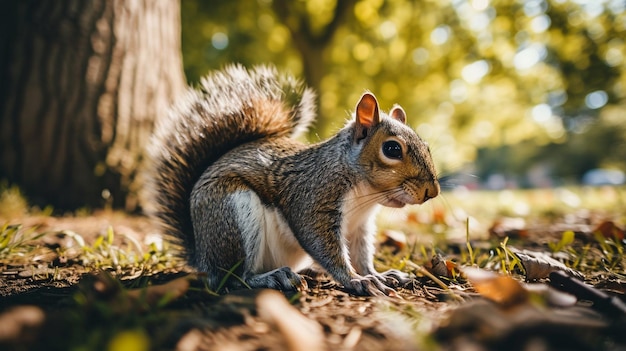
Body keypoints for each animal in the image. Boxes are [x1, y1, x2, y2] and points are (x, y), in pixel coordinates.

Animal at [146, 64, 438, 296]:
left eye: (426, 145)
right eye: (392, 149)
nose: (432, 192)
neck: (365, 195)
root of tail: (201, 255)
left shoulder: (359, 226)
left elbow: (361, 255)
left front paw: (377, 274)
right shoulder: (313, 198)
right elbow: (324, 246)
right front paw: (356, 280)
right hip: (232, 213)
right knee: (232, 278)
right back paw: (272, 277)